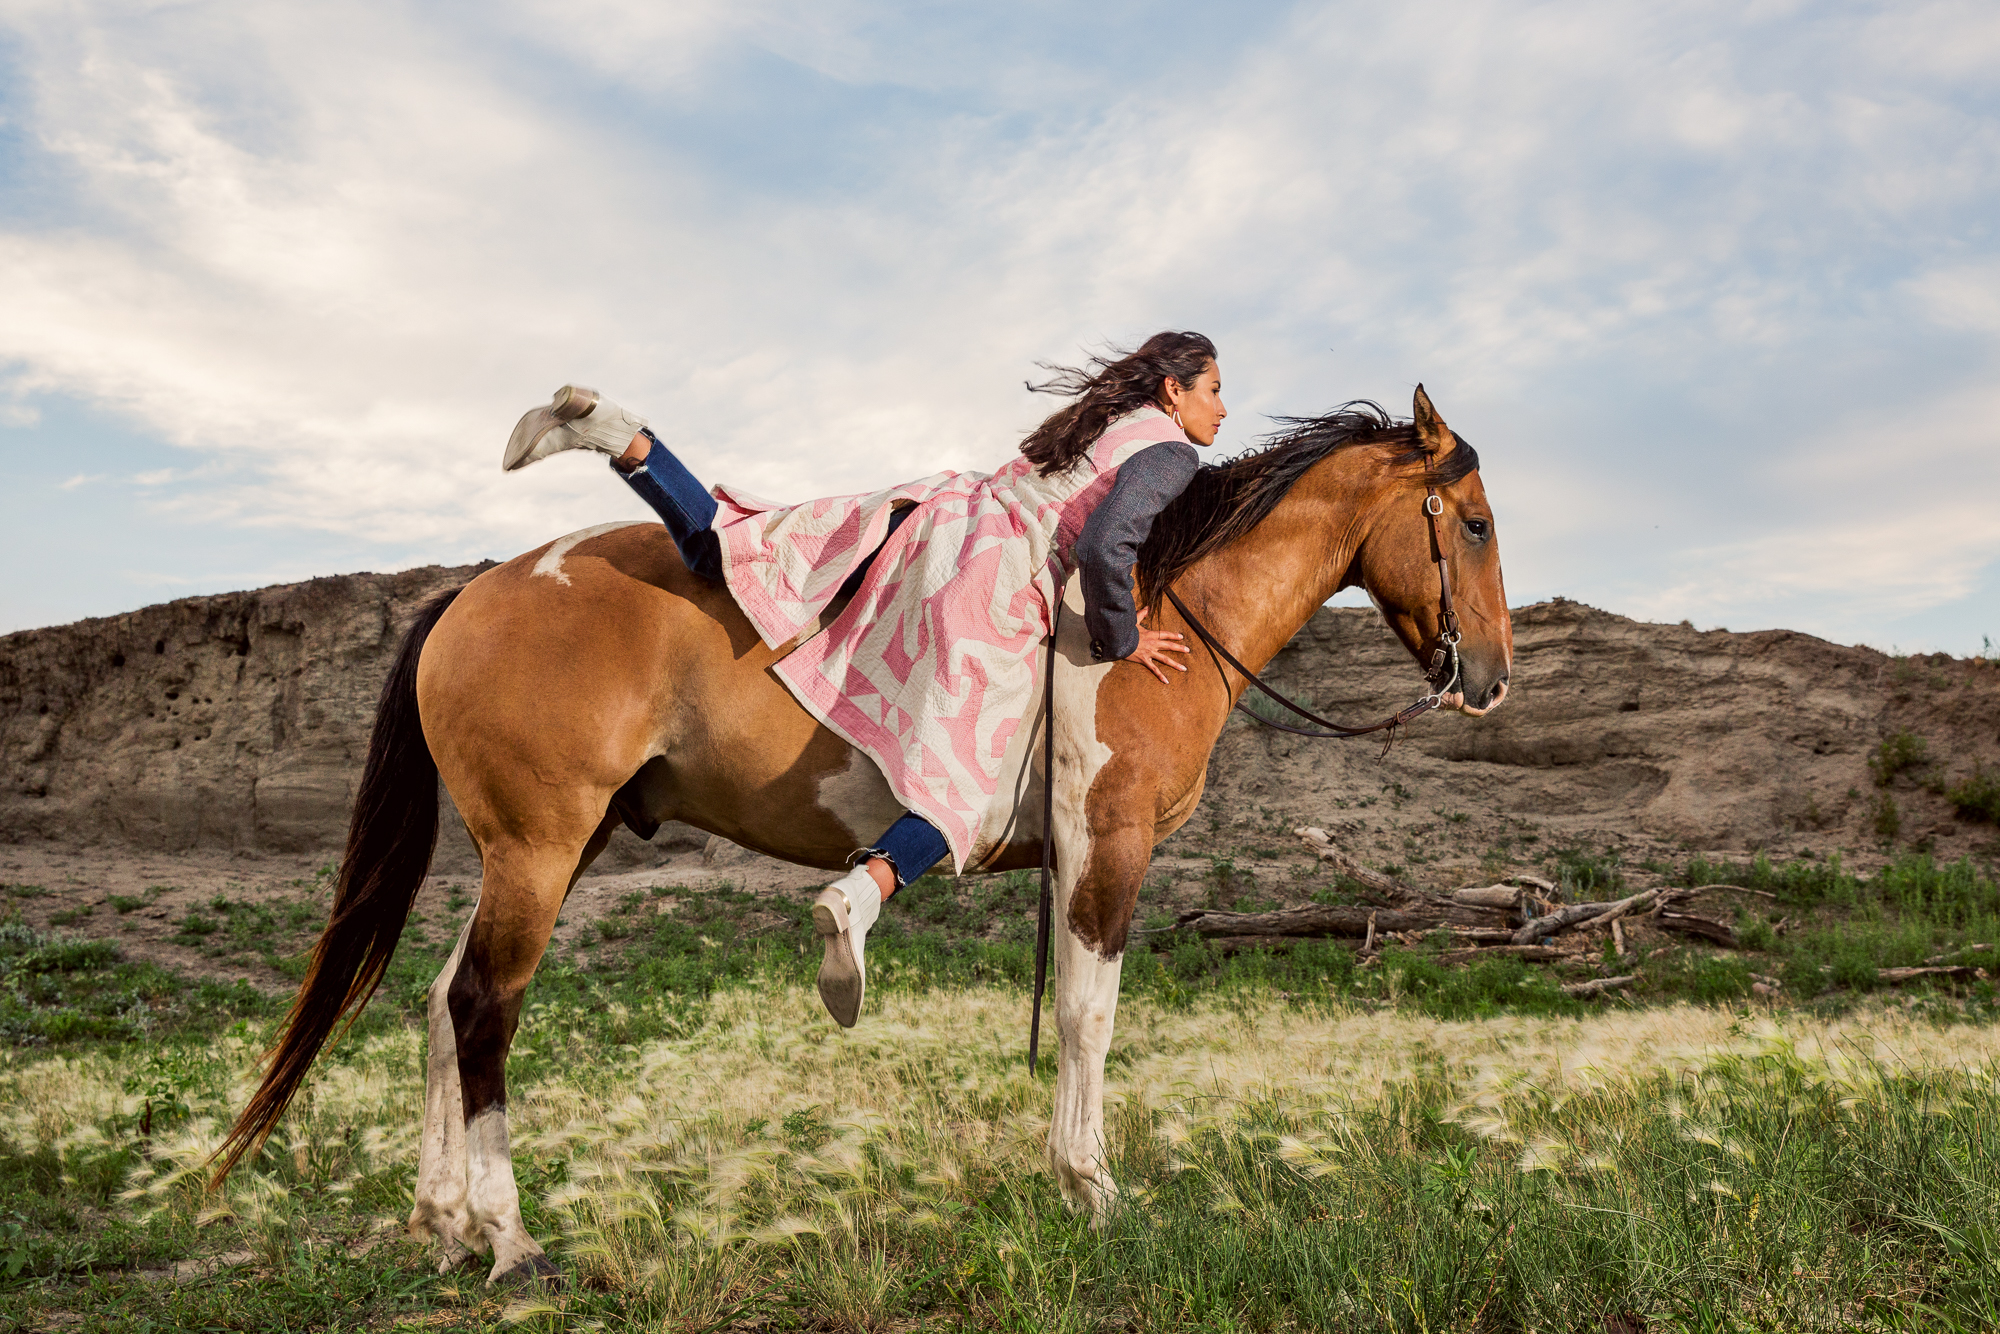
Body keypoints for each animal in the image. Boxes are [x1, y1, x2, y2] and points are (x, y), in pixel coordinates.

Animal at [211, 384, 1504, 1280]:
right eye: (1476, 523)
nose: (1487, 680)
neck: (1153, 607)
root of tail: (475, 588)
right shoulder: (1108, 845)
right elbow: (1088, 1016)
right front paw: (1090, 1185)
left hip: (539, 853)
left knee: (439, 1001)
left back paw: (443, 1223)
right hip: (536, 848)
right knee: (483, 1007)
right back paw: (513, 1240)